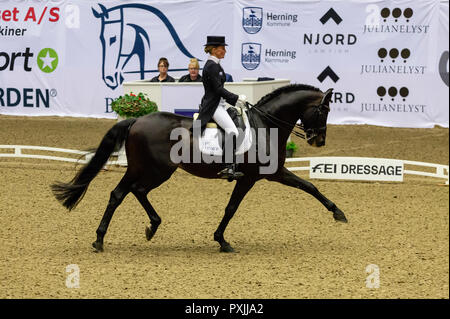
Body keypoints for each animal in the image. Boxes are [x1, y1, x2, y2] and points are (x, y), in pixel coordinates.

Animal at [51, 84, 348, 254]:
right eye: (324, 111)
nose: (319, 141)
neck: (265, 125)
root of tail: (137, 120)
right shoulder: (257, 176)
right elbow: (233, 207)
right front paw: (222, 241)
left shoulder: (269, 175)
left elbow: (309, 186)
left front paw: (339, 213)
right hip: (153, 169)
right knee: (122, 193)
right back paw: (102, 239)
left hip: (155, 170)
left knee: (132, 191)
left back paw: (147, 228)